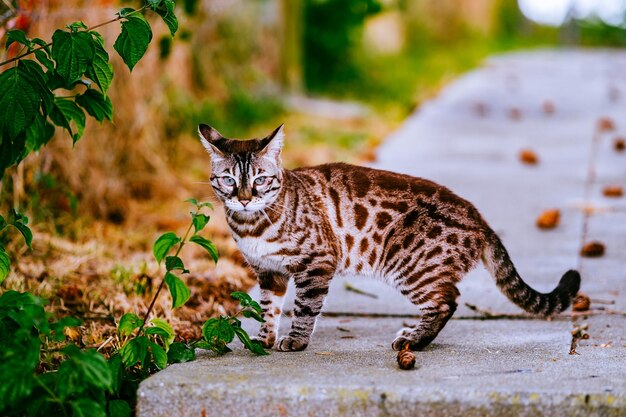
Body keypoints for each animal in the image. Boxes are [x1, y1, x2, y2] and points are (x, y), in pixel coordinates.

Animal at [199, 122, 580, 352]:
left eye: (260, 179)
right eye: (229, 180)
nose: (243, 197)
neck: (252, 224)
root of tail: (478, 216)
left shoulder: (317, 264)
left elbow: (305, 308)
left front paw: (295, 340)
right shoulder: (268, 271)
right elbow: (268, 307)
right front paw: (264, 337)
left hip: (409, 267)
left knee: (448, 300)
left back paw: (415, 339)